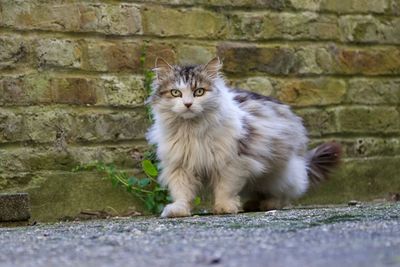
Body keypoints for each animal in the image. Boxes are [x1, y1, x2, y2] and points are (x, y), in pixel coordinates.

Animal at [147, 57, 340, 219]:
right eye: (175, 93)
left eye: (199, 92)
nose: (188, 104)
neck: (192, 131)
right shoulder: (180, 165)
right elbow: (182, 192)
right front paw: (178, 210)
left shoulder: (231, 162)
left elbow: (225, 188)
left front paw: (224, 207)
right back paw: (252, 204)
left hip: (279, 174)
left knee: (286, 194)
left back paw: (269, 204)